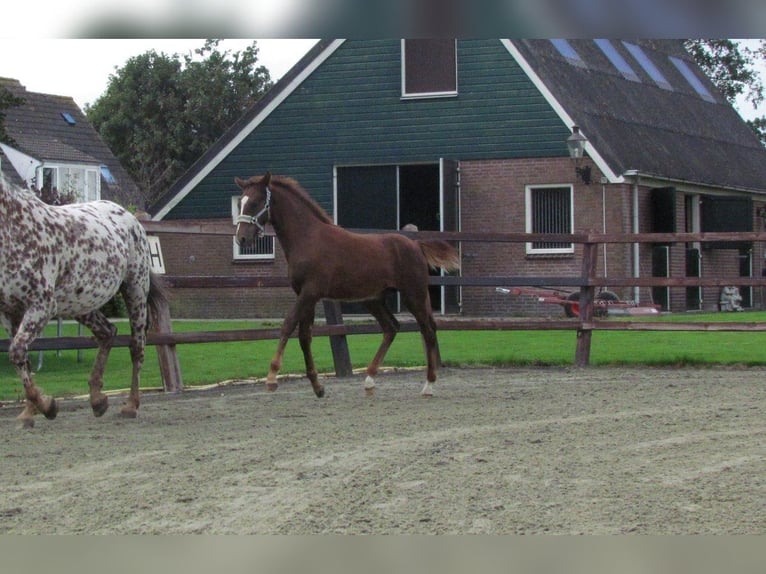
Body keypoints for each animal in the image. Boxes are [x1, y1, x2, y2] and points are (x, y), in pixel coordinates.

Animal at [0, 179, 167, 428]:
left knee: (136, 347)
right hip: (80, 305)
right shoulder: (9, 313)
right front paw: (29, 413)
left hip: (135, 290)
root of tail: (129, 216)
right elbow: (22, 358)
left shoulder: (42, 305)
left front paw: (47, 406)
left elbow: (17, 352)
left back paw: (130, 405)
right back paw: (97, 400)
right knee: (107, 332)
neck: (15, 229)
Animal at [234, 173, 462, 400]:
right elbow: (305, 336)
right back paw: (369, 381)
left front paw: (272, 378)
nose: (242, 238)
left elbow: (288, 324)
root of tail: (416, 245)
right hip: (374, 300)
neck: (308, 239)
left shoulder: (310, 292)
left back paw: (428, 386)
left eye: (255, 202)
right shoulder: (306, 295)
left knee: (428, 330)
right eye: (240, 203)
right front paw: (318, 387)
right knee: (391, 327)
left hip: (413, 294)